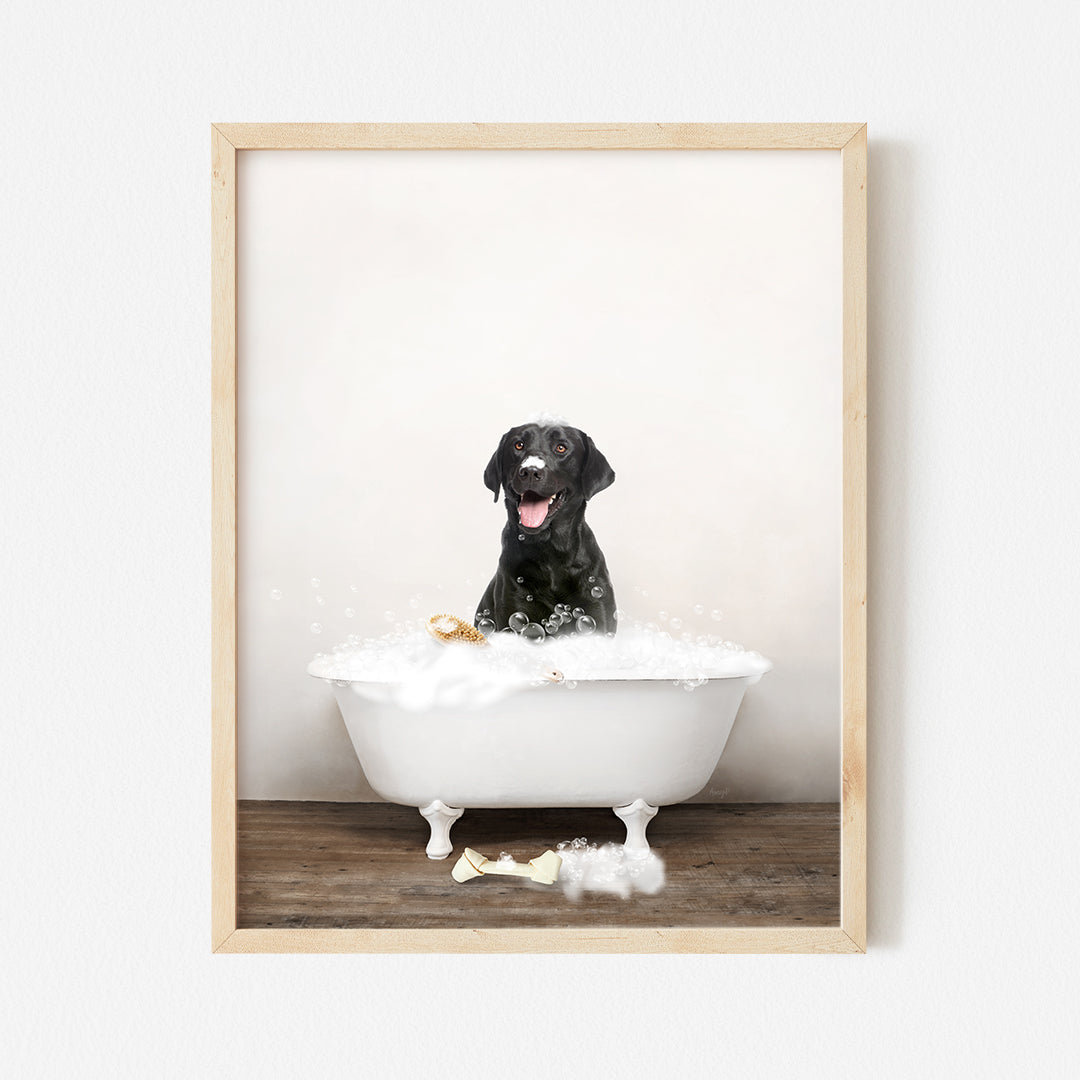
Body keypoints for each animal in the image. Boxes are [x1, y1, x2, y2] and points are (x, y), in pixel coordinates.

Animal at [475, 421, 617, 635]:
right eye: (518, 445)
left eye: (561, 447)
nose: (530, 471)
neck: (551, 552)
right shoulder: (515, 612)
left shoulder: (596, 609)